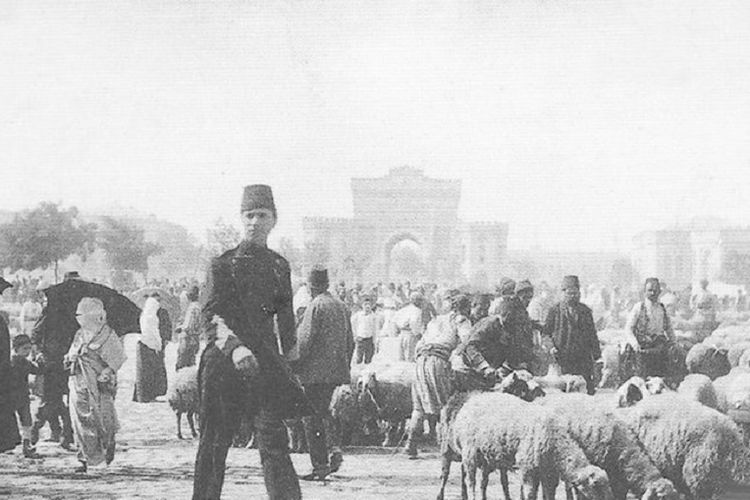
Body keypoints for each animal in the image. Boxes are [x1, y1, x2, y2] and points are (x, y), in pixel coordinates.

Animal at [438, 392, 612, 500]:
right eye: (595, 485)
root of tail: (469, 402)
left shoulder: (548, 473)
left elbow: (549, 494)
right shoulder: (528, 469)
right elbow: (530, 494)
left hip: (486, 457)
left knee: (483, 483)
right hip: (469, 454)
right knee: (471, 482)